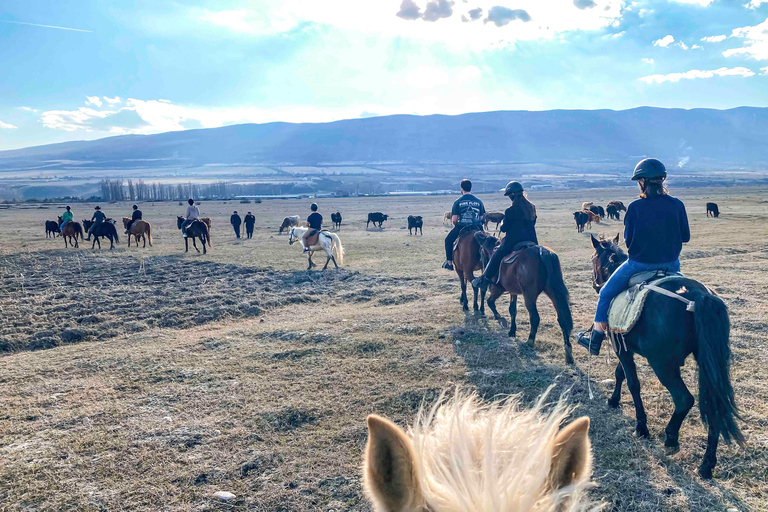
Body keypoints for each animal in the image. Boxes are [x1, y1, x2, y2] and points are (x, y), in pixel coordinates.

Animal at [588, 234, 743, 478]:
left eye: (593, 258)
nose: (595, 284)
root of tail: (698, 295)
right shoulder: (625, 345)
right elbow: (621, 374)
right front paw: (614, 400)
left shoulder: (621, 347)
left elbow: (632, 382)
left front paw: (641, 427)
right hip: (708, 365)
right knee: (714, 405)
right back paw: (706, 465)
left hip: (663, 365)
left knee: (684, 399)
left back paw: (671, 437)